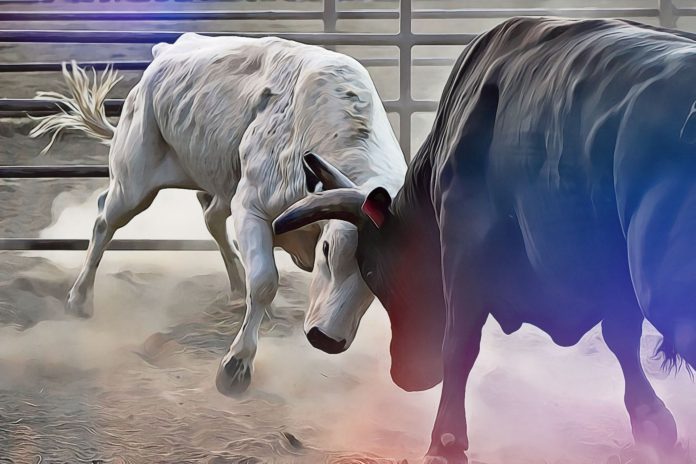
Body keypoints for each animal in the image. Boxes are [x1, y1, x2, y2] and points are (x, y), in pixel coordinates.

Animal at [30, 33, 406, 396]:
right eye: (327, 249)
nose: (325, 339)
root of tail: (166, 51)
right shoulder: (251, 207)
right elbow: (265, 282)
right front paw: (236, 365)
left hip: (219, 182)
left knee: (210, 217)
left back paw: (237, 285)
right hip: (133, 183)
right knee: (103, 221)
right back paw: (79, 299)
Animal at [273, 17, 696, 463]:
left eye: (370, 270)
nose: (404, 374)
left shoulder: (464, 251)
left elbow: (459, 344)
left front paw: (445, 440)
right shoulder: (611, 272)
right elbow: (621, 336)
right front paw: (652, 421)